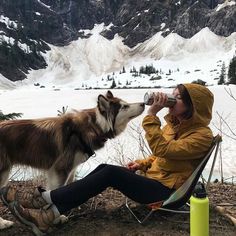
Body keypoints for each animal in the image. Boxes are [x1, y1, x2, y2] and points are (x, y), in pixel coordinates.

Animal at [0, 90, 145, 229]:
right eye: (124, 106)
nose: (143, 103)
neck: (92, 126)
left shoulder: (71, 169)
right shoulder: (60, 169)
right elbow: (56, 190)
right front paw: (56, 219)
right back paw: (3, 224)